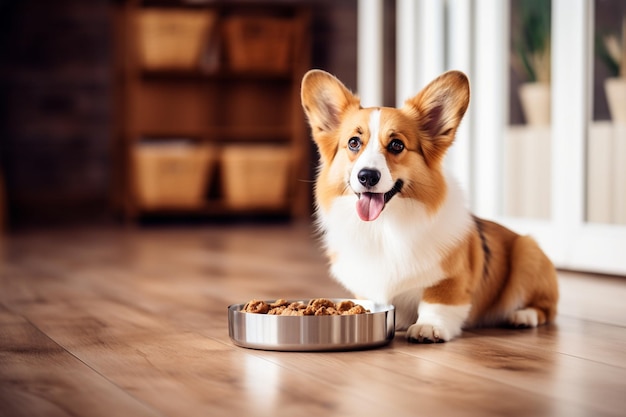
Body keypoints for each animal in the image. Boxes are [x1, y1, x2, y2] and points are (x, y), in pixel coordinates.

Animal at [298, 69, 556, 342]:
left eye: (397, 145)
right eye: (354, 143)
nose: (367, 176)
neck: (384, 227)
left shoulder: (450, 279)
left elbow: (437, 302)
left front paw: (428, 327)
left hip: (528, 253)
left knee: (546, 308)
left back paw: (523, 316)